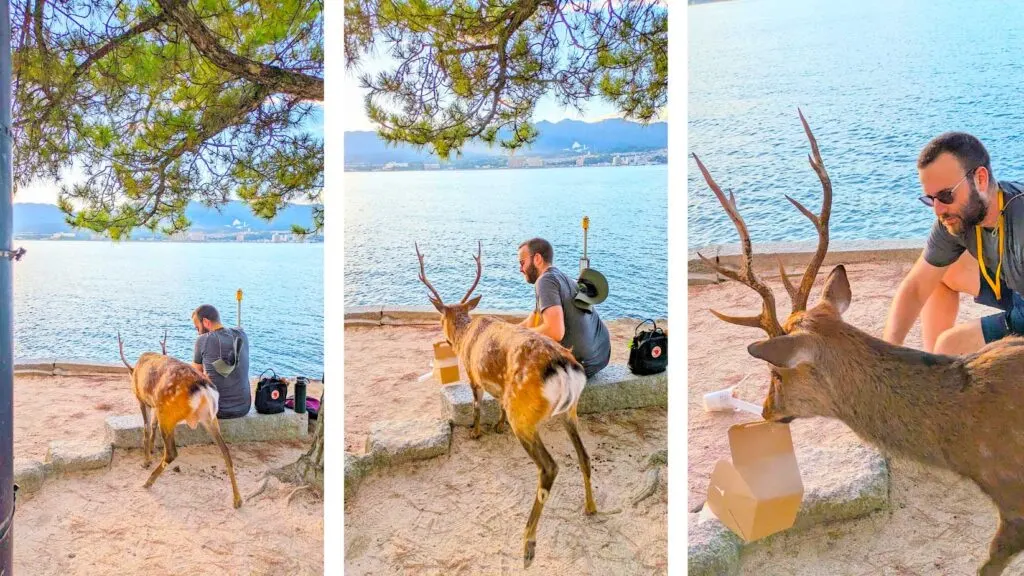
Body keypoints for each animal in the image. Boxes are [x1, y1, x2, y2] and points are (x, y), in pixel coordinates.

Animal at [117, 327, 241, 506]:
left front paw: (146, 460)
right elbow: (152, 427)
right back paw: (237, 500)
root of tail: (203, 388)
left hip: (168, 413)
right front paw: (151, 451)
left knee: (171, 452)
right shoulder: (154, 405)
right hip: (209, 418)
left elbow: (146, 428)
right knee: (225, 451)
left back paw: (148, 482)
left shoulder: (142, 399)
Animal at [411, 239, 598, 565]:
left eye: (440, 317)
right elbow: (496, 402)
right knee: (584, 456)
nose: (443, 338)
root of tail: (565, 365)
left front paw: (476, 432)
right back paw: (590, 507)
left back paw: (527, 545)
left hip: (523, 414)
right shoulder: (499, 387)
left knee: (549, 467)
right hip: (570, 411)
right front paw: (496, 426)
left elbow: (476, 404)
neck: (465, 337)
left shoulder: (473, 373)